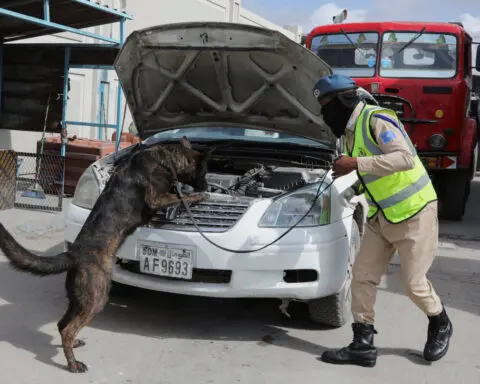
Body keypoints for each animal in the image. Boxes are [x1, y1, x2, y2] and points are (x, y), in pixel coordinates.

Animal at [0, 136, 212, 372]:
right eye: (204, 172)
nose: (209, 185)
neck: (165, 160)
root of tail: (74, 254)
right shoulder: (157, 198)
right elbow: (182, 197)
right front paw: (200, 195)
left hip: (79, 299)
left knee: (62, 324)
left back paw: (73, 346)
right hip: (97, 297)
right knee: (67, 328)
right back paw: (73, 363)